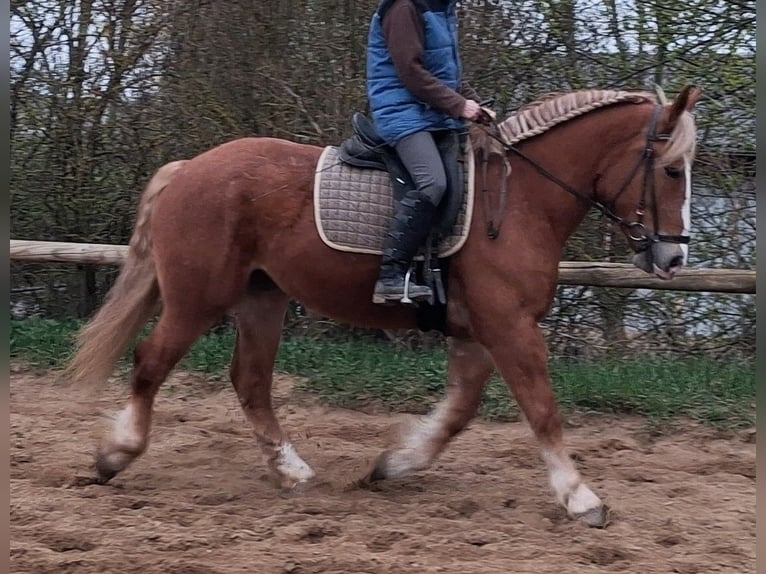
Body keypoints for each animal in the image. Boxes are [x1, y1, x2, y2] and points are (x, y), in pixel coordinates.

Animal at [66, 86, 701, 528]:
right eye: (672, 169)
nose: (672, 257)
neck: (520, 201)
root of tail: (189, 169)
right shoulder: (511, 328)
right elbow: (542, 410)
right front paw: (580, 497)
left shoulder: (479, 332)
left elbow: (459, 412)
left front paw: (394, 465)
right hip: (198, 300)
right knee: (151, 362)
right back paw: (117, 455)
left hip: (262, 299)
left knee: (250, 381)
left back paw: (291, 471)